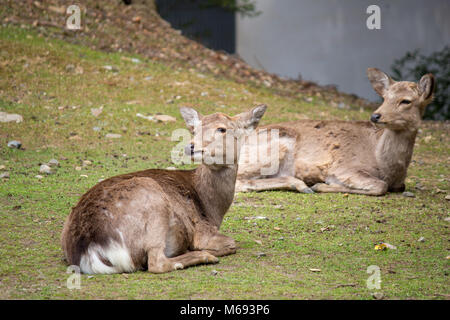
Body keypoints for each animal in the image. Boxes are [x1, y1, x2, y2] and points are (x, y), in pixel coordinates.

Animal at [62, 104, 268, 272]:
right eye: (195, 129)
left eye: (222, 128)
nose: (191, 147)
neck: (213, 210)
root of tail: (89, 249)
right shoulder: (203, 231)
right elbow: (231, 243)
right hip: (153, 202)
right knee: (156, 263)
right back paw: (204, 256)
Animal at [237, 69, 434, 196]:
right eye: (384, 98)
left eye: (406, 101)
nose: (375, 116)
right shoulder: (344, 167)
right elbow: (380, 186)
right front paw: (320, 185)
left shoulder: (399, 183)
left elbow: (394, 186)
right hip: (272, 149)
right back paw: (303, 185)